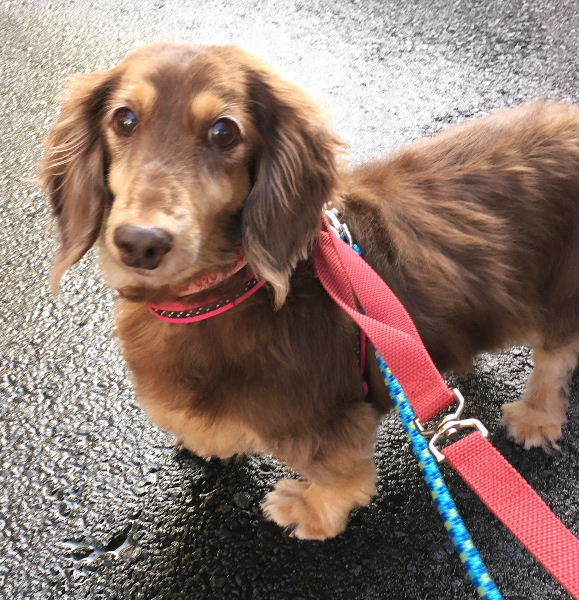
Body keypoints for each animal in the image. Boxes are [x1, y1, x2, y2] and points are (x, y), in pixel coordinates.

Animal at [41, 43, 579, 540]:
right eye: (125, 120)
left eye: (224, 131)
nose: (140, 242)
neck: (225, 289)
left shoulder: (328, 417)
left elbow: (341, 475)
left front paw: (312, 509)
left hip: (561, 295)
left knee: (554, 359)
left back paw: (535, 417)